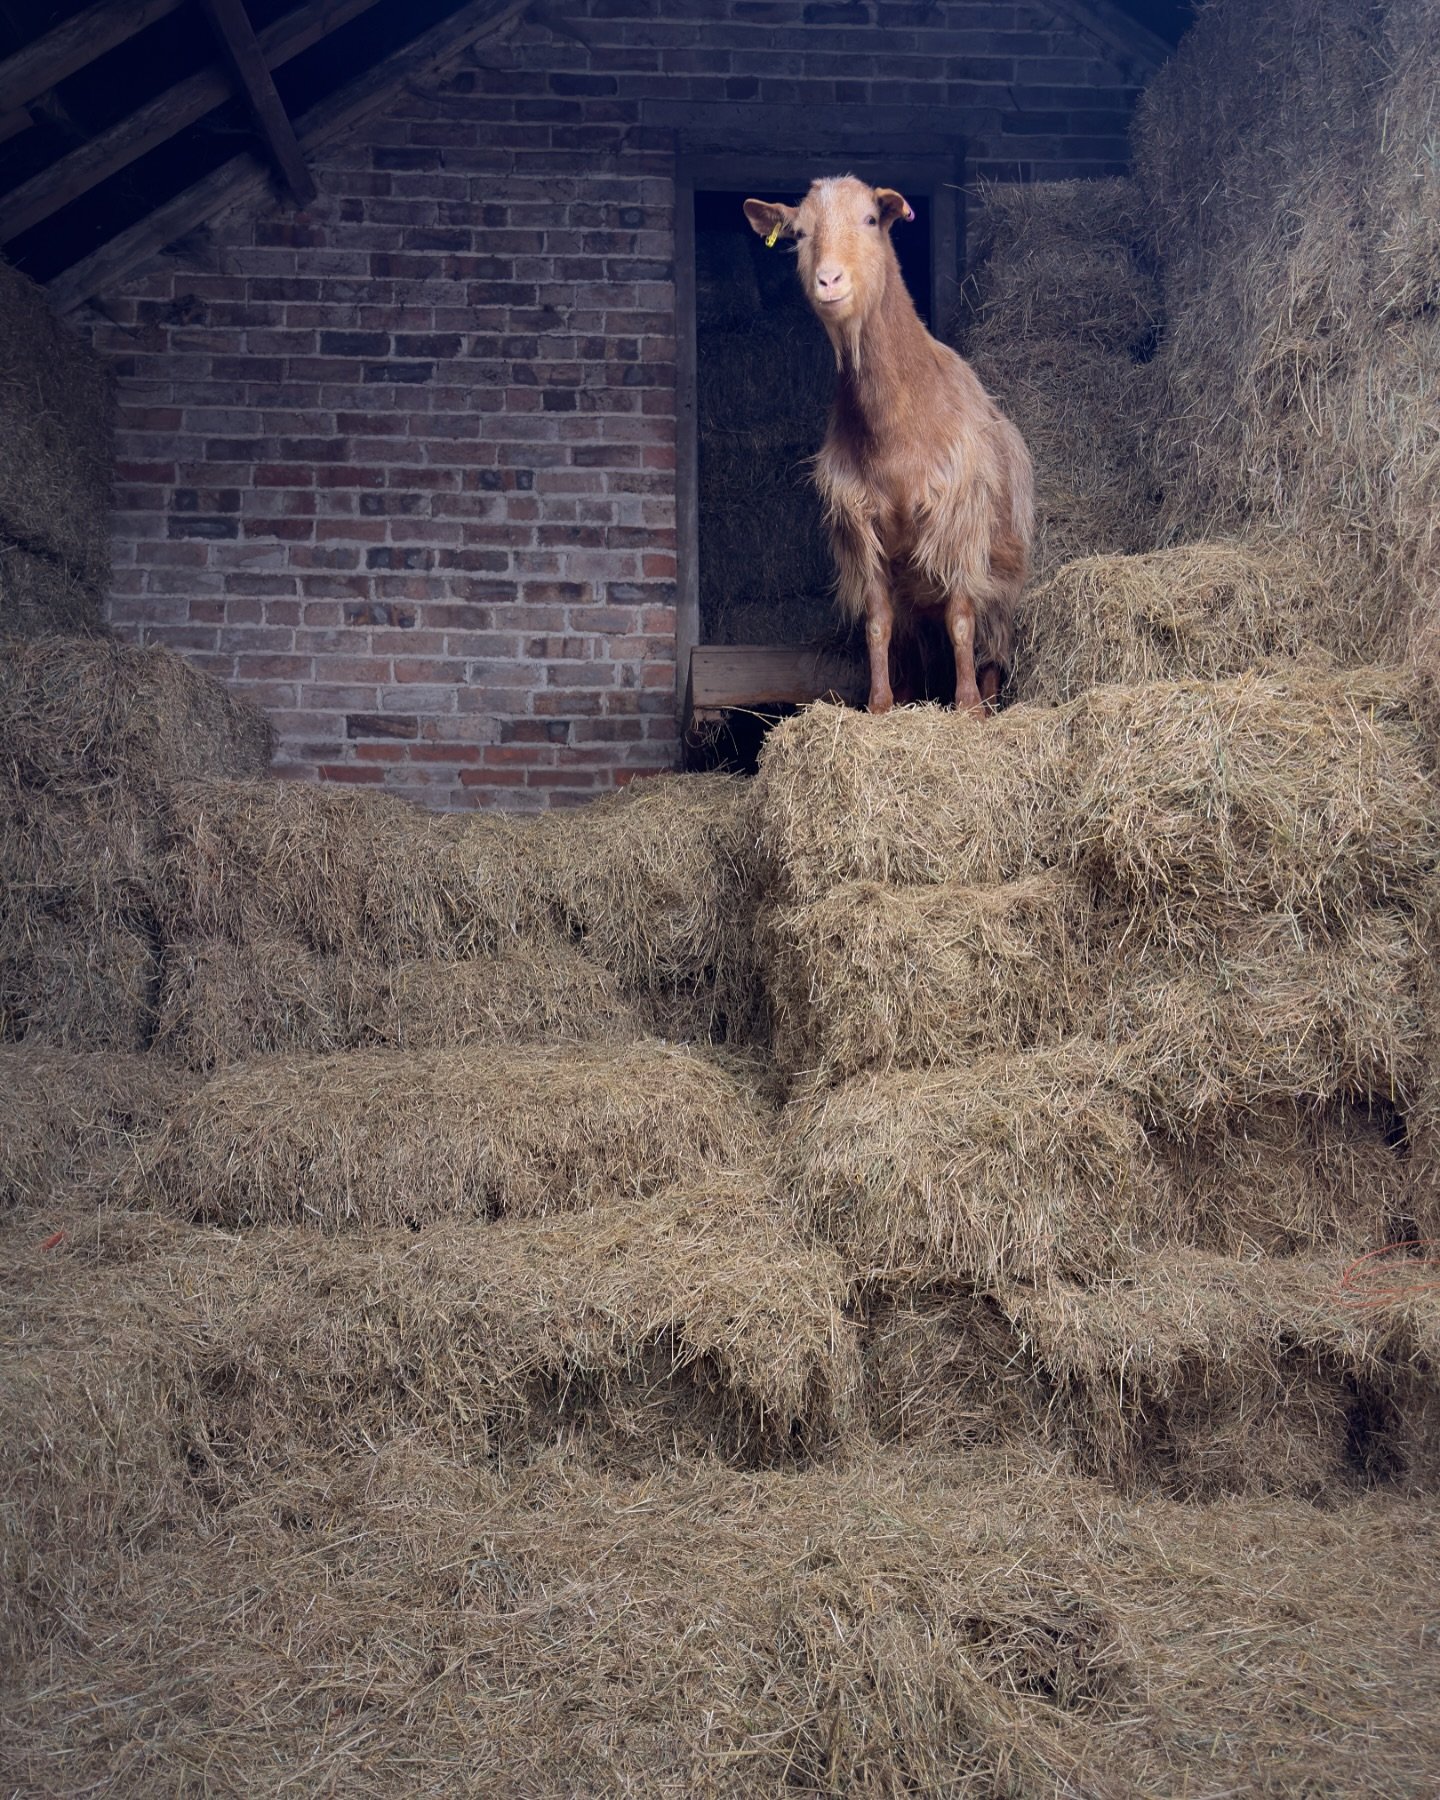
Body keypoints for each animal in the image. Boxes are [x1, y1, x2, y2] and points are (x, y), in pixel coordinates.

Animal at [741, 177, 1036, 716]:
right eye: (800, 233)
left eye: (870, 219)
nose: (829, 281)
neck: (899, 427)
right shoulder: (862, 528)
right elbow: (877, 623)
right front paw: (879, 706)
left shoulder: (957, 522)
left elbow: (961, 618)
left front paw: (966, 706)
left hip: (1003, 575)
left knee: (989, 640)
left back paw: (986, 699)